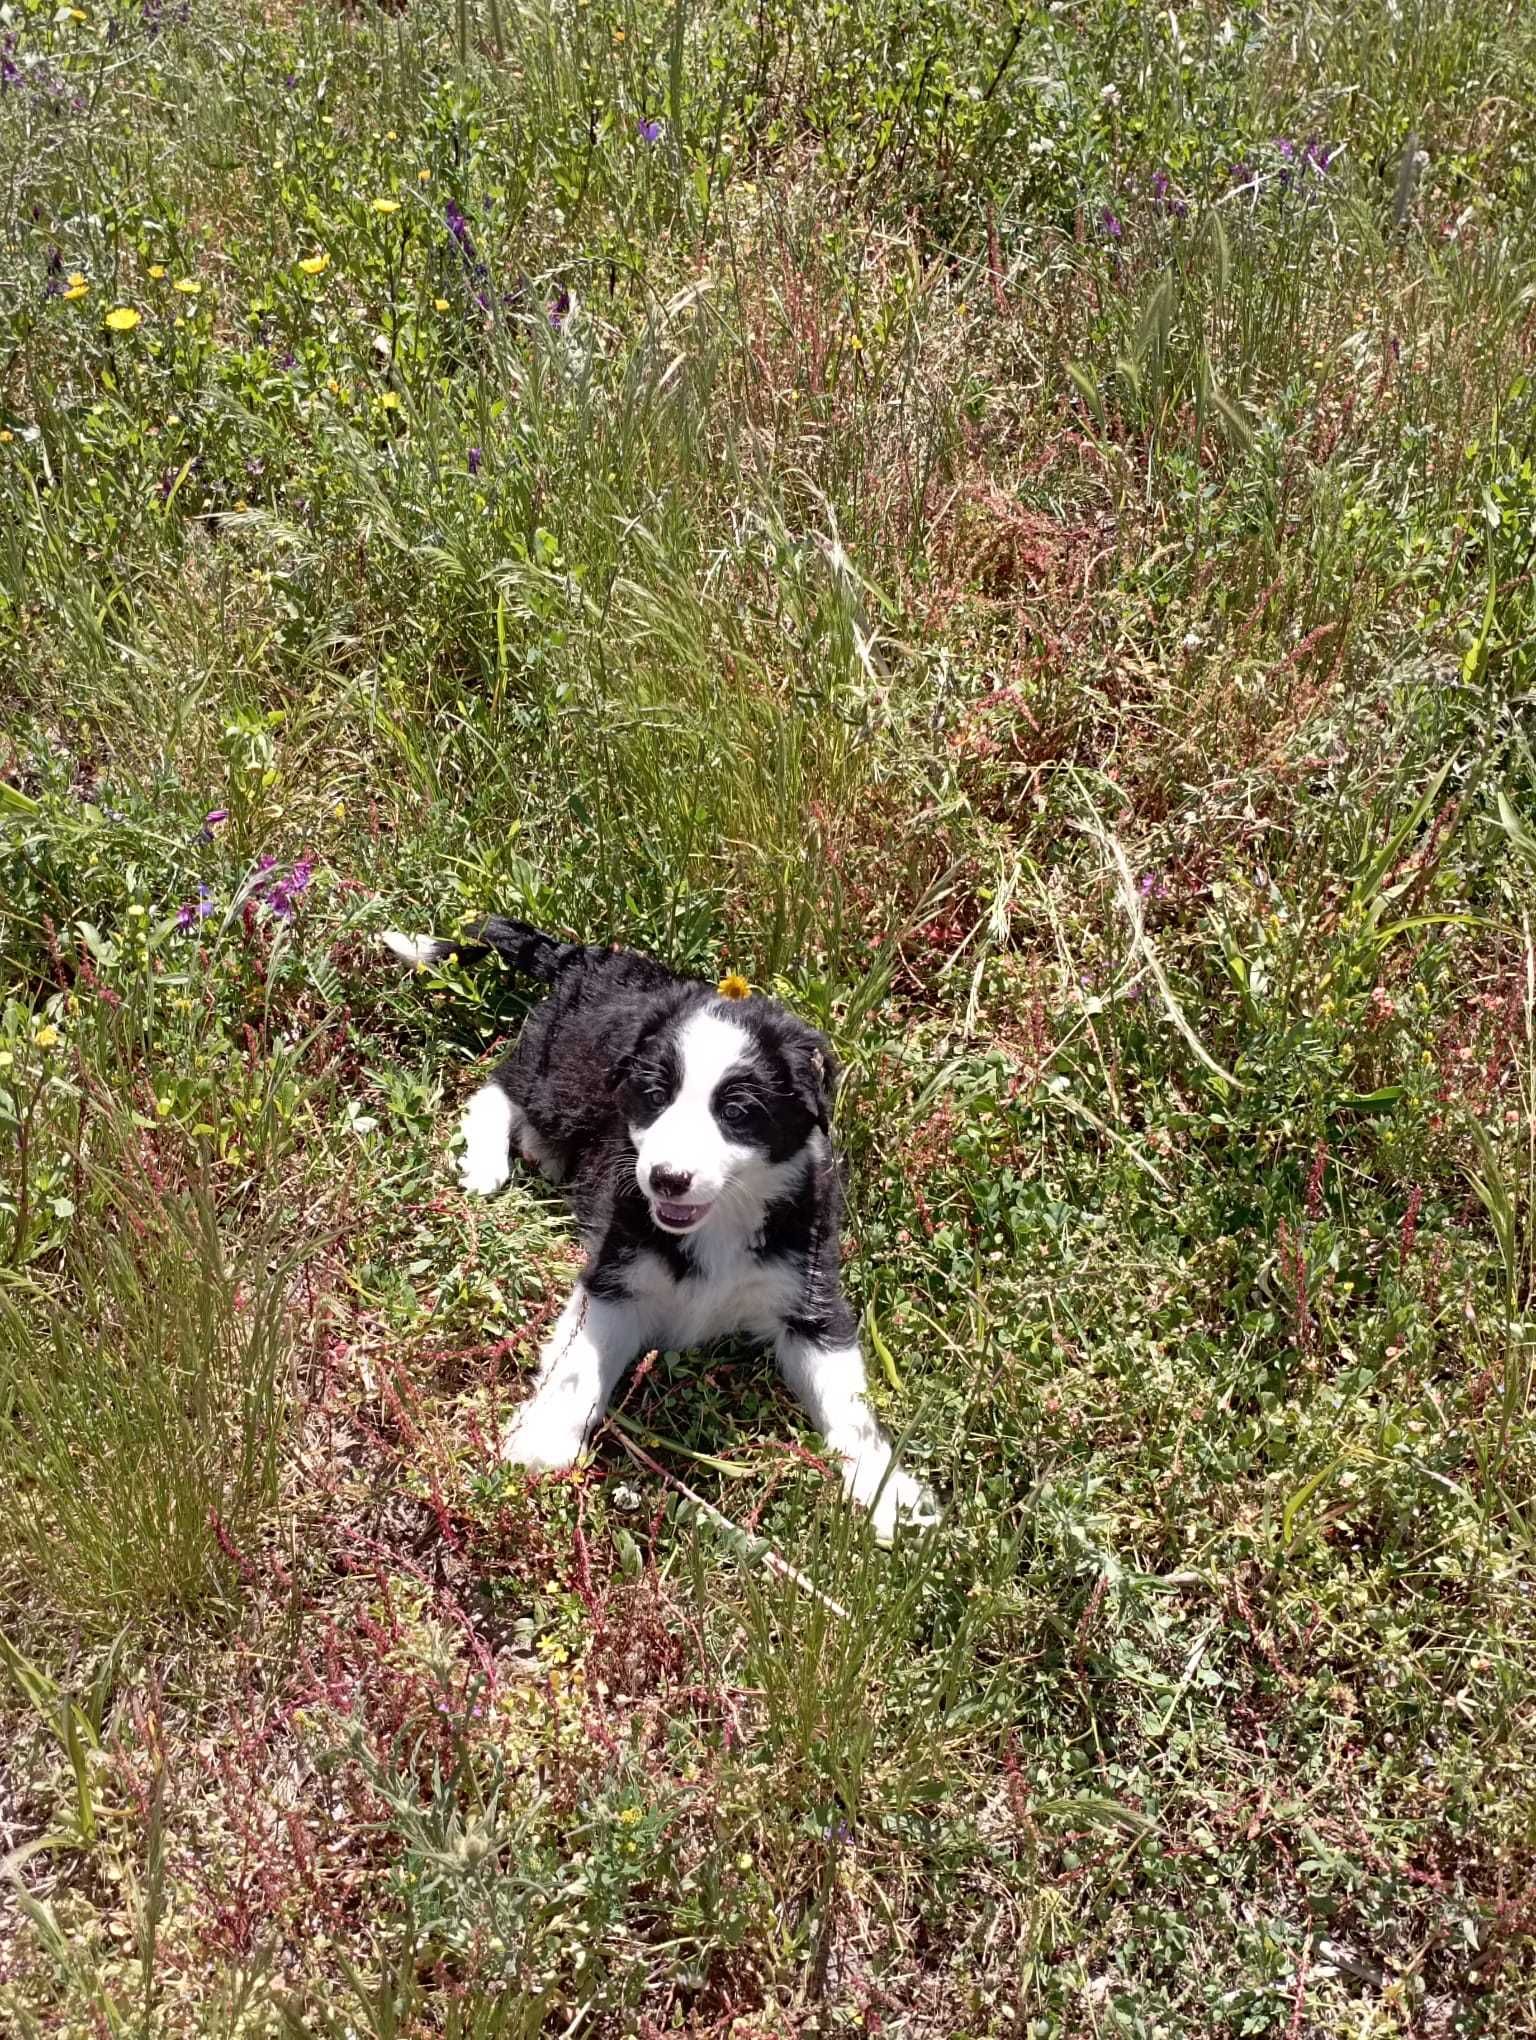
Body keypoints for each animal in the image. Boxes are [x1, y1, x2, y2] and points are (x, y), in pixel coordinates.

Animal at [381, 918, 934, 1534]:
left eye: (735, 1113)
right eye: (654, 1097)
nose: (666, 1180)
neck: (722, 1219)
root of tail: (594, 958)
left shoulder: (810, 1294)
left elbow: (849, 1406)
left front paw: (889, 1494)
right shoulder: (616, 1275)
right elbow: (579, 1365)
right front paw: (545, 1439)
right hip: (567, 1078)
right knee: (500, 1087)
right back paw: (486, 1161)